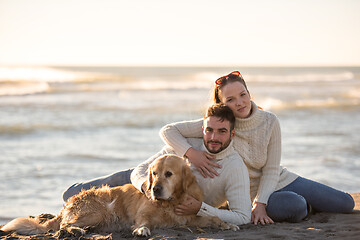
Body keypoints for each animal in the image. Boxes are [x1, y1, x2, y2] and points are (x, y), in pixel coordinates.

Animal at [2, 155, 240, 237]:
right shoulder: (143, 213)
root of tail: (68, 204)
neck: (170, 203)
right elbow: (143, 221)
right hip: (98, 211)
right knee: (63, 225)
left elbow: (212, 218)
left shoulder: (188, 218)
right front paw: (142, 230)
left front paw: (227, 224)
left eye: (169, 174)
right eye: (154, 174)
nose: (155, 189)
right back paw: (76, 230)